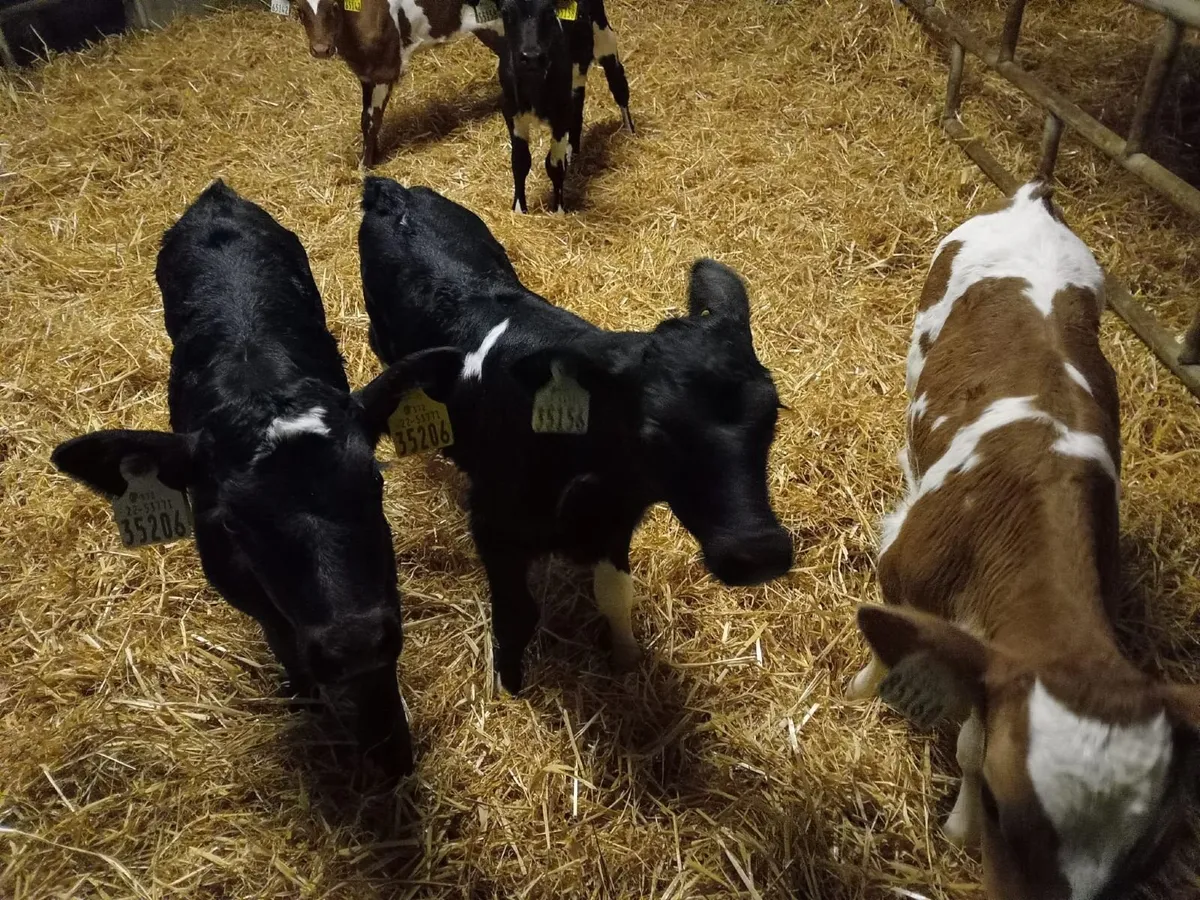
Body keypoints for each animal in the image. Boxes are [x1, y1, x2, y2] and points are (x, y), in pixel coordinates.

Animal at [51, 180, 464, 781]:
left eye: (375, 483)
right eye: (232, 523)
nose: (354, 644)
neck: (257, 380)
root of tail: (217, 194)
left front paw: (391, 751)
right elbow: (288, 646)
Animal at [293, 0, 508, 166]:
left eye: (334, 6)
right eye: (300, 10)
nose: (321, 49)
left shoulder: (384, 68)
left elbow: (372, 120)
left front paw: (365, 165)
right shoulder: (366, 74)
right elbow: (366, 117)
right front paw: (374, 155)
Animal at [358, 177, 793, 694]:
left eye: (773, 415)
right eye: (654, 431)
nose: (760, 551)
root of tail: (396, 191)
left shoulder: (616, 521)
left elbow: (616, 593)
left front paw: (626, 657)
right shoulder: (493, 524)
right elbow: (516, 614)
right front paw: (510, 686)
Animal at [497, 0, 634, 213]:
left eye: (549, 12)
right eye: (506, 12)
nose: (531, 56)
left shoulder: (560, 114)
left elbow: (554, 164)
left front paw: (558, 211)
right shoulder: (511, 110)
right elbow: (520, 161)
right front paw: (519, 210)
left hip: (604, 38)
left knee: (618, 84)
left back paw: (630, 132)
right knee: (578, 105)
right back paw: (574, 150)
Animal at [848, 181, 1200, 899]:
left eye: (1149, 856)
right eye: (1003, 812)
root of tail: (1032, 201)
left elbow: (974, 737)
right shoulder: (900, 565)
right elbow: (890, 647)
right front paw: (863, 691)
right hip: (920, 348)